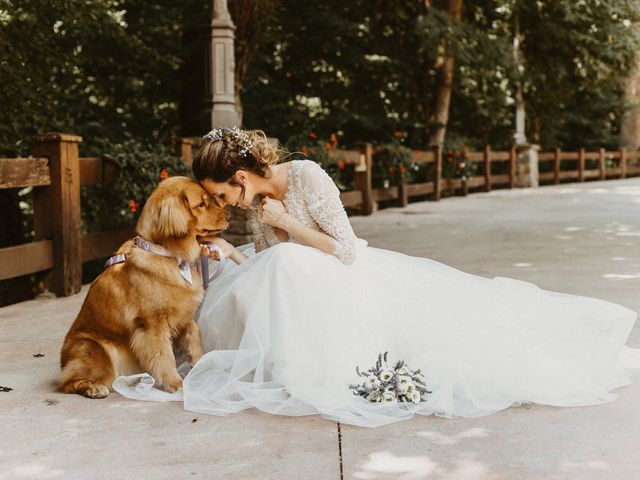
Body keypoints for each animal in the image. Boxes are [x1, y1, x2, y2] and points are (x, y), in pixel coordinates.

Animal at [60, 176, 229, 398]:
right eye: (201, 204)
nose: (229, 215)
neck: (170, 255)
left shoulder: (184, 317)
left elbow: (195, 338)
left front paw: (201, 366)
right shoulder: (152, 325)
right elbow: (164, 356)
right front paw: (175, 383)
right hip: (94, 347)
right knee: (67, 383)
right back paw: (92, 388)